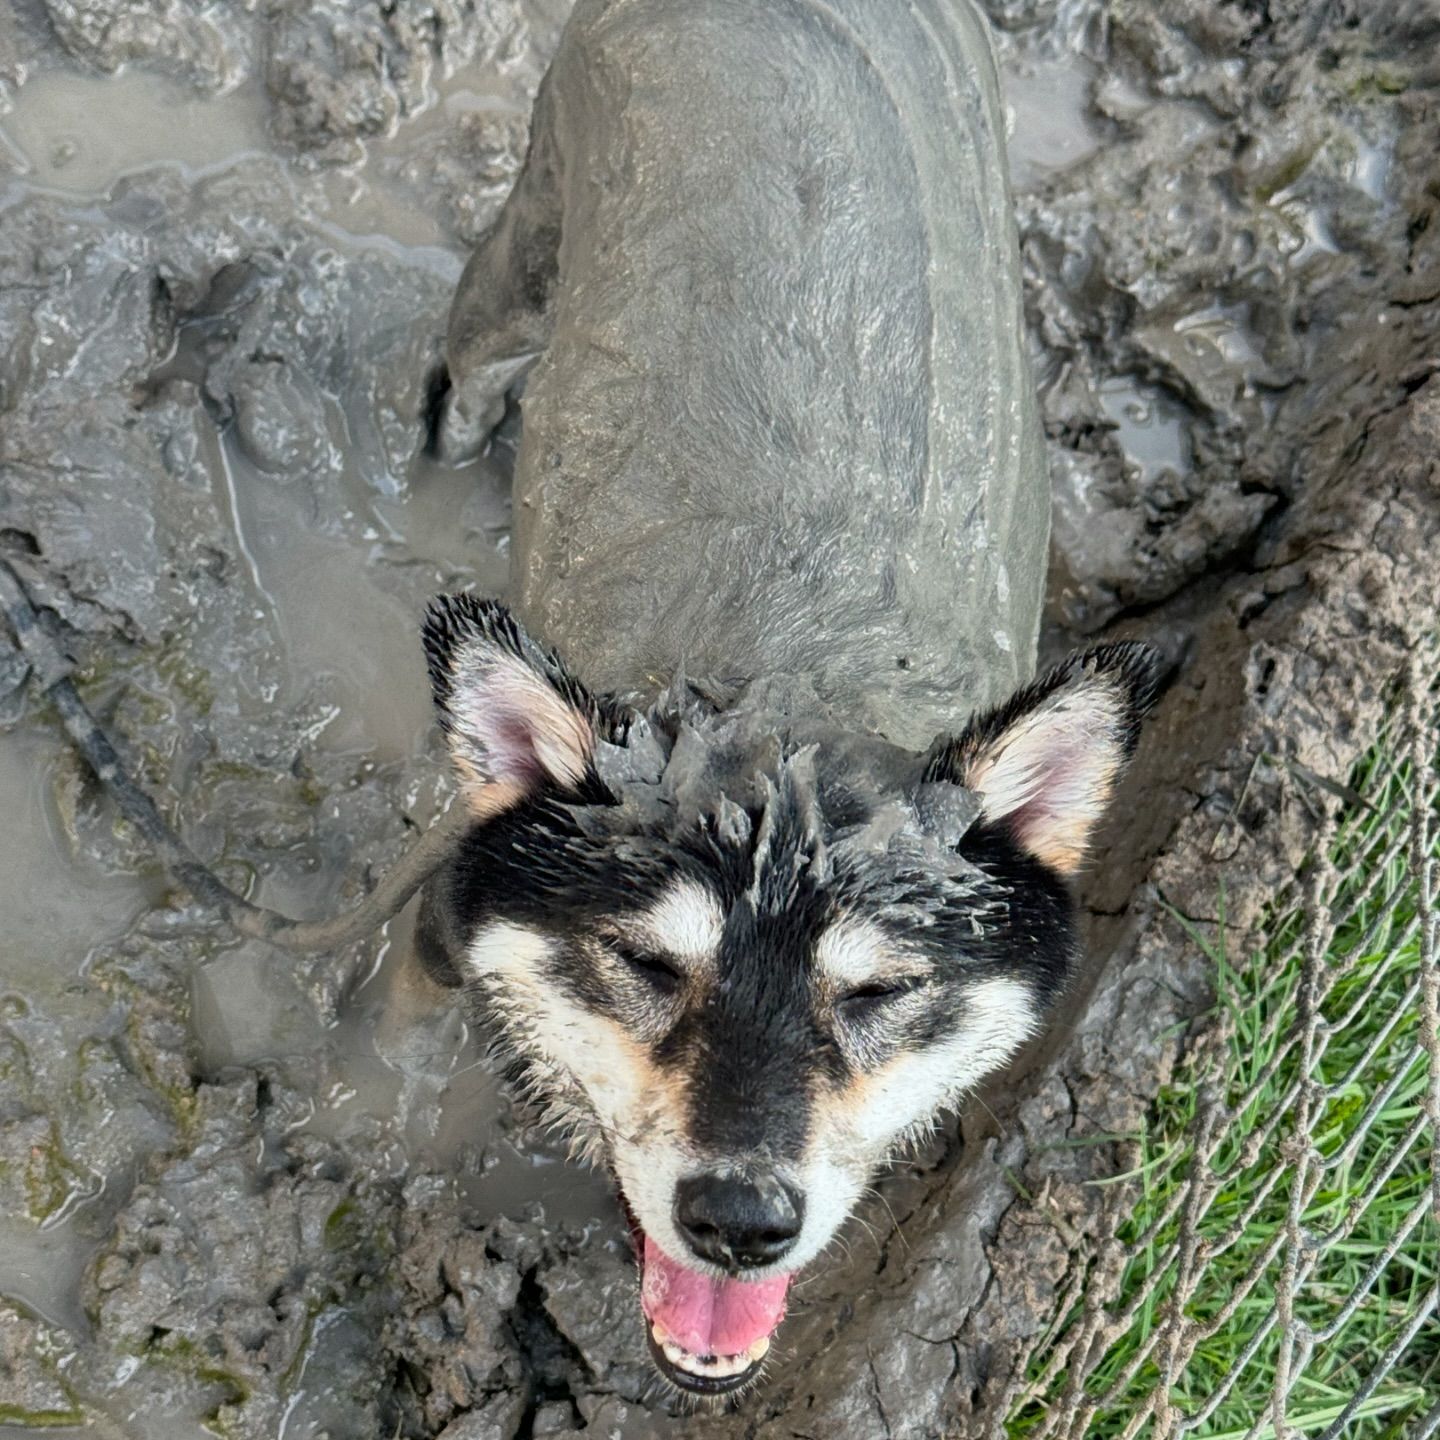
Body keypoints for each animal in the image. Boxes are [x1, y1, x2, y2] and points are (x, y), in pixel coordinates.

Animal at [417, 0, 1157, 1399]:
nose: (740, 1222)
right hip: (535, 219)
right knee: (476, 339)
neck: (787, 673)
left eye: (878, 995)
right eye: (647, 964)